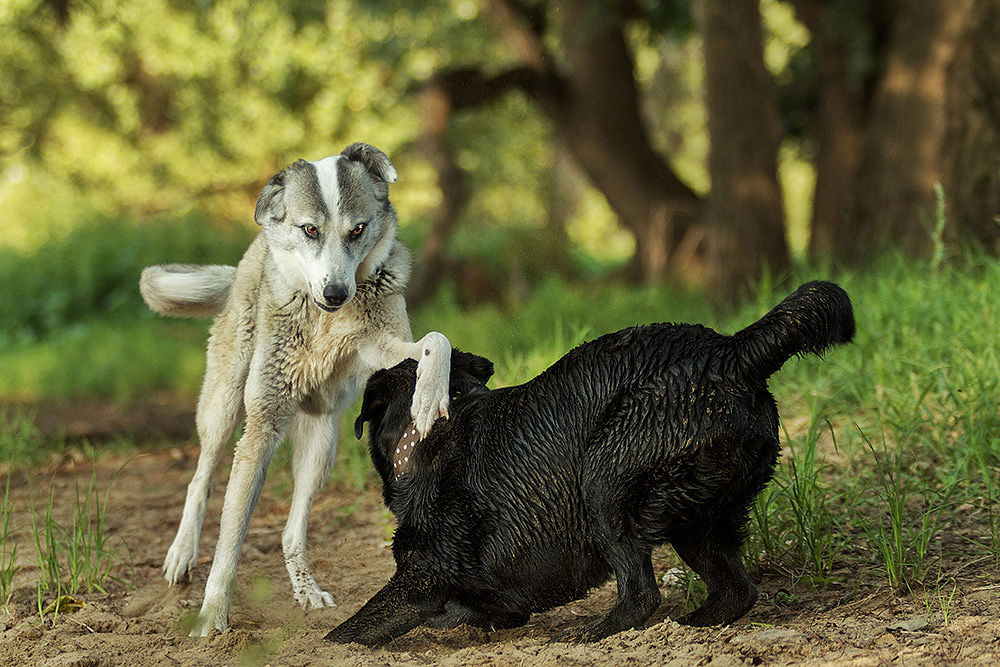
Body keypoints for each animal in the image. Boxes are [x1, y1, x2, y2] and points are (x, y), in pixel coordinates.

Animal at [139, 144, 452, 636]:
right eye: (309, 230)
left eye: (357, 229)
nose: (337, 292)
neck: (324, 318)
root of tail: (247, 257)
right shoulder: (261, 425)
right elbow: (230, 538)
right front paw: (212, 616)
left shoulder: (385, 347)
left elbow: (437, 341)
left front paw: (427, 398)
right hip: (224, 405)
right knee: (201, 477)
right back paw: (181, 555)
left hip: (322, 444)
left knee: (292, 530)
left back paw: (307, 591)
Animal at [326, 282, 852, 648]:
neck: (433, 428)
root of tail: (732, 352)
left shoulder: (420, 575)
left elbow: (348, 631)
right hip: (701, 520)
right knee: (735, 591)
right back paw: (690, 626)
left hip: (603, 482)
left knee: (640, 594)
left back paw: (596, 634)